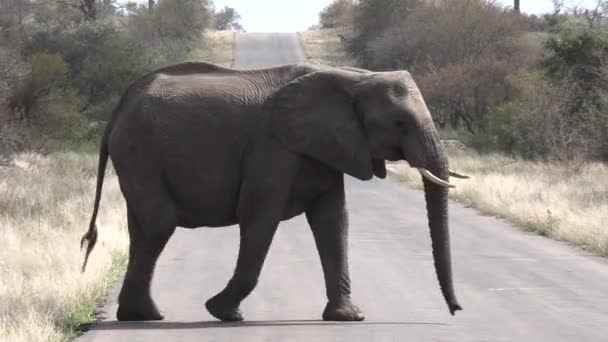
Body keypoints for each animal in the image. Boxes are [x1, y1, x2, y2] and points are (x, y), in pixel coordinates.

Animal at [79, 60, 466, 320]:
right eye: (400, 123)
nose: (455, 310)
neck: (354, 78)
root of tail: (118, 109)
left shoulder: (327, 145)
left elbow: (333, 222)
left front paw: (348, 317)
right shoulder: (272, 147)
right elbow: (260, 217)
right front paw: (223, 313)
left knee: (143, 228)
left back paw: (139, 316)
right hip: (138, 151)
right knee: (160, 223)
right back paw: (147, 316)